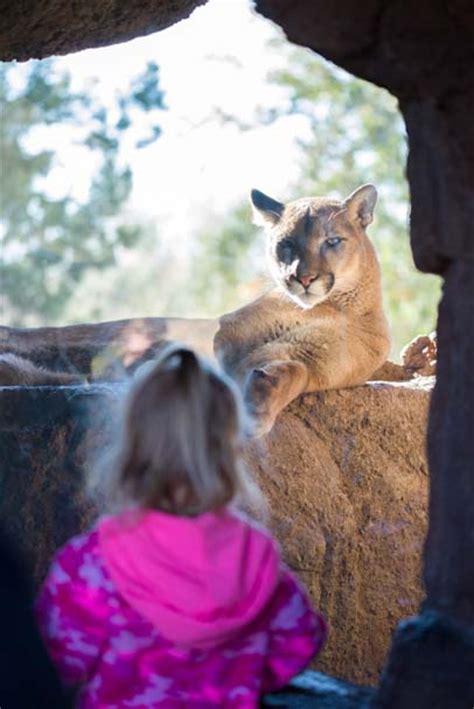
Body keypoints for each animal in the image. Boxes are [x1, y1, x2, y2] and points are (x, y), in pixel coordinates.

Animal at [214, 183, 388, 436]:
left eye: (332, 241)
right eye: (286, 244)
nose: (304, 278)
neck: (340, 307)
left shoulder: (319, 362)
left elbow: (298, 370)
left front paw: (258, 405)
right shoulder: (229, 331)